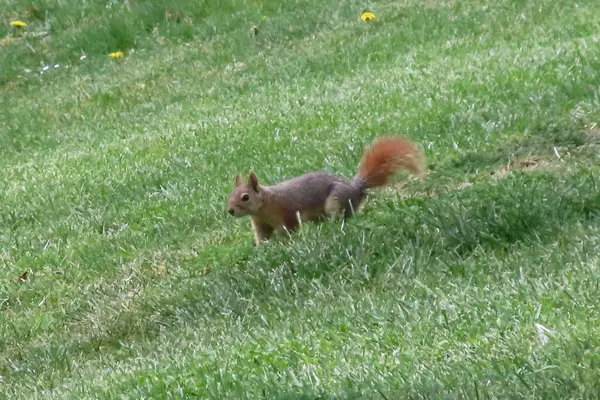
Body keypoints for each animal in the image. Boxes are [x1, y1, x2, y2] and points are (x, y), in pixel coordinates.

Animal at [226, 136, 426, 245]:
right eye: (229, 195)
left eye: (245, 197)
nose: (230, 211)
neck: (265, 205)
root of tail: (355, 190)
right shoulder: (260, 223)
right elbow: (263, 237)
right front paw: (262, 248)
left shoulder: (286, 213)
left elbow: (288, 230)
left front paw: (284, 243)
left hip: (335, 201)